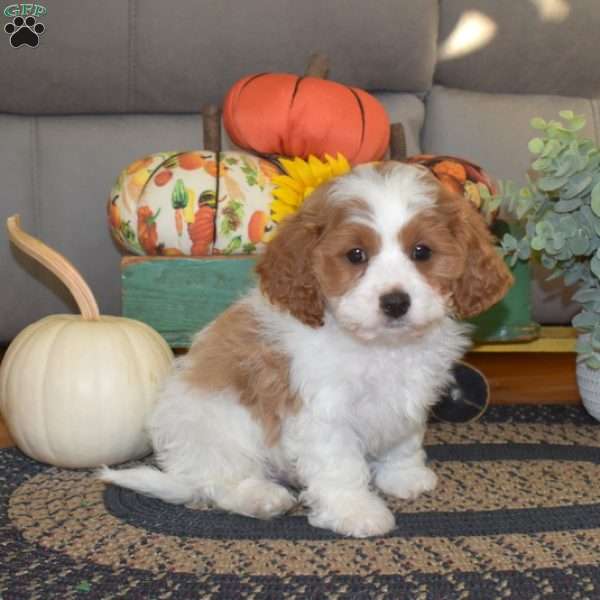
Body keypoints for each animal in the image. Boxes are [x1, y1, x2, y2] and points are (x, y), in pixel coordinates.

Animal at [102, 161, 510, 540]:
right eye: (356, 255)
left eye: (422, 252)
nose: (395, 302)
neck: (379, 345)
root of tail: (181, 467)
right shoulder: (324, 412)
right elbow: (340, 465)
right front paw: (355, 511)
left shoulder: (408, 398)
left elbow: (404, 440)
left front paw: (404, 475)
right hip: (214, 425)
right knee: (218, 481)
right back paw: (260, 497)